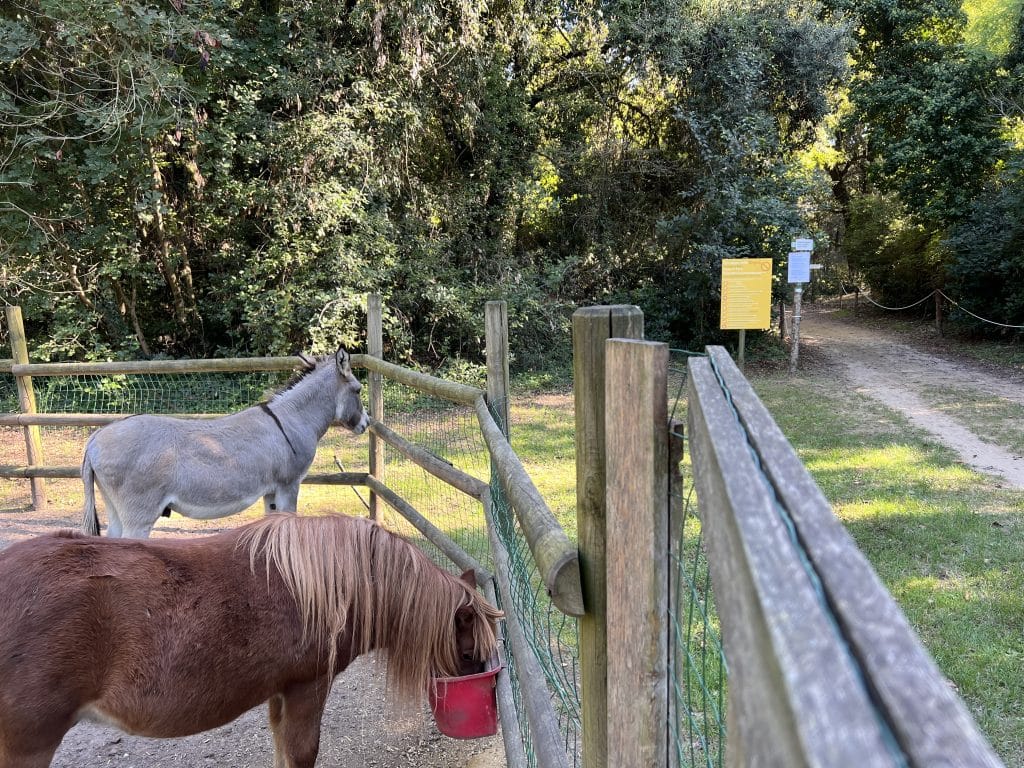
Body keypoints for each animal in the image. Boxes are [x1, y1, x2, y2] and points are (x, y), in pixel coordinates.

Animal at [0, 513, 503, 768]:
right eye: (469, 651)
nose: (484, 683)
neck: (330, 585)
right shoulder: (306, 689)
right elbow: (302, 753)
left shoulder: (279, 695)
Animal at [81, 346, 370, 538]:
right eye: (358, 390)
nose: (366, 424)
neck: (292, 418)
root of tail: (95, 439)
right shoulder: (289, 484)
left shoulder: (270, 490)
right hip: (139, 513)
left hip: (114, 507)